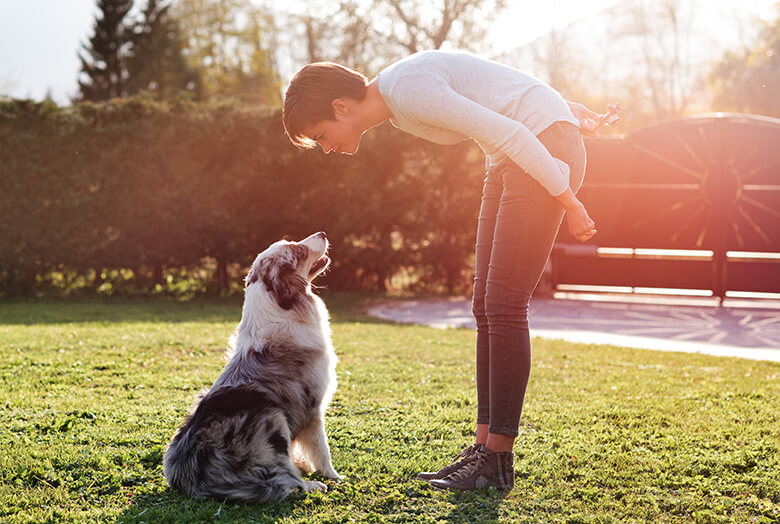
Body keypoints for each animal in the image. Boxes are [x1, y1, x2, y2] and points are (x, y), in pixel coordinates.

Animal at [164, 232, 342, 504]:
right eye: (298, 251)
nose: (322, 233)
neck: (280, 305)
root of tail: (191, 479)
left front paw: (303, 463)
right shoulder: (312, 407)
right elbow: (322, 448)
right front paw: (332, 475)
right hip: (272, 416)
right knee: (284, 481)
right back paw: (312, 485)